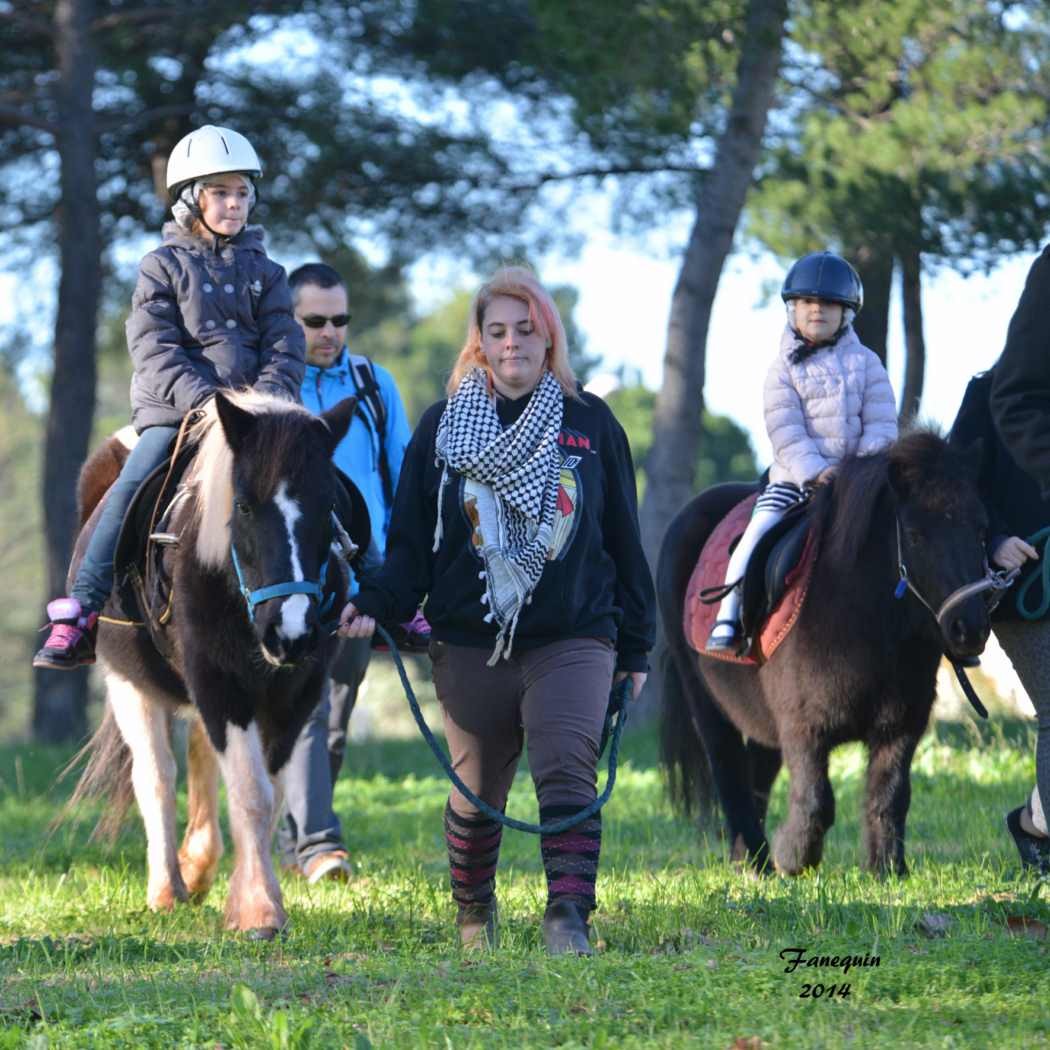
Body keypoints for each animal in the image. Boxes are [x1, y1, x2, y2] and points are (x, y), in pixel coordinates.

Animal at [655, 430, 991, 873]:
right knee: (729, 771)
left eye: (981, 530)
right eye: (916, 535)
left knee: (757, 775)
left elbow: (890, 796)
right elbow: (817, 800)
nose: (970, 628)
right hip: (705, 702)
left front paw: (887, 868)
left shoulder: (902, 726)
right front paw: (794, 858)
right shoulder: (804, 726)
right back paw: (755, 860)